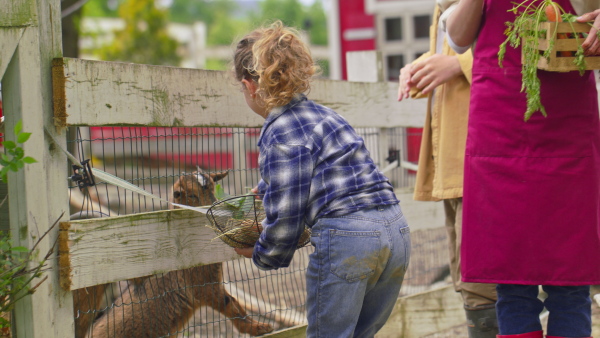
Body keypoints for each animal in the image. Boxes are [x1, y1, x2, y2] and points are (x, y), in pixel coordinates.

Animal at [87, 170, 274, 336]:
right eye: (191, 195)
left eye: (212, 188)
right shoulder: (202, 285)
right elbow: (230, 303)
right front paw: (259, 328)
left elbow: (234, 302)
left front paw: (261, 326)